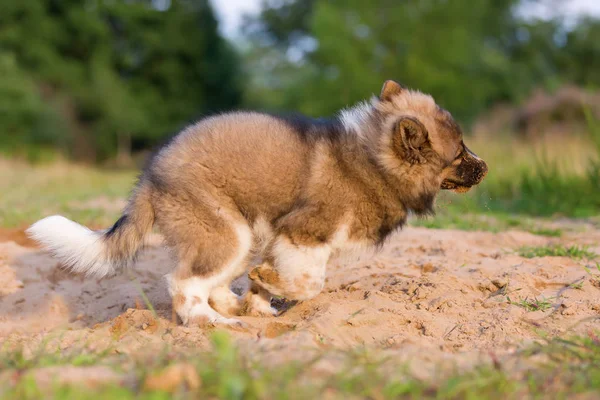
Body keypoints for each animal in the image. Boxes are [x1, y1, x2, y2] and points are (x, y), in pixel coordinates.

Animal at [27, 80, 488, 324]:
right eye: (459, 153)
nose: (486, 167)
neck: (373, 160)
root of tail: (148, 179)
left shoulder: (286, 241)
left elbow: (286, 283)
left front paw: (259, 298)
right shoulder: (303, 235)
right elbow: (310, 283)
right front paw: (267, 290)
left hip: (242, 235)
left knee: (210, 282)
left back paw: (235, 306)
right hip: (224, 233)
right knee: (184, 284)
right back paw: (214, 324)